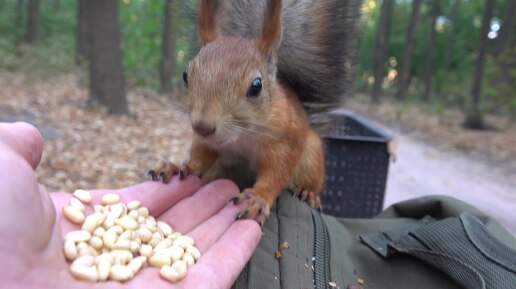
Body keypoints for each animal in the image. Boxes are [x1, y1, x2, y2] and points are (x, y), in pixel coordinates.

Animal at [149, 0, 350, 224]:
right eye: (186, 75)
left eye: (256, 86)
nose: (202, 127)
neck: (241, 137)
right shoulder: (206, 142)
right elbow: (201, 155)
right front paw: (181, 167)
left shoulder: (285, 141)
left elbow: (277, 173)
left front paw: (258, 198)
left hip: (312, 157)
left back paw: (309, 193)